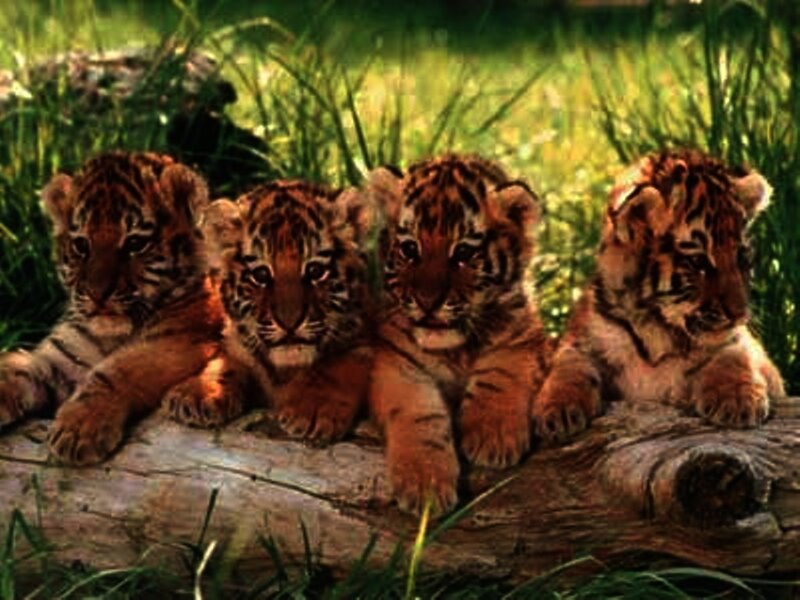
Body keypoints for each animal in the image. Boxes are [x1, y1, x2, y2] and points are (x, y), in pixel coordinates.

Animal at [0, 151, 224, 465]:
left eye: (135, 243)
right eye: (81, 245)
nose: (97, 294)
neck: (111, 335)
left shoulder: (177, 342)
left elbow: (115, 370)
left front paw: (78, 429)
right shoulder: (58, 360)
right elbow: (16, 368)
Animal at [163, 180, 374, 443]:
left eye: (315, 271)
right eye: (261, 274)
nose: (289, 323)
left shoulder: (364, 342)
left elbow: (333, 367)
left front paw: (311, 411)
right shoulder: (237, 345)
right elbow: (224, 363)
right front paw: (195, 394)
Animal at [367, 155, 552, 515]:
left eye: (464, 253)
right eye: (410, 248)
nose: (427, 302)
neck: (454, 349)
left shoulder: (525, 339)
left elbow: (501, 373)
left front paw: (492, 436)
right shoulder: (394, 362)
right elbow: (419, 411)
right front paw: (424, 485)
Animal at [532, 149, 785, 441]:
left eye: (742, 259)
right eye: (698, 262)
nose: (740, 314)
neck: (656, 330)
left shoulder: (737, 344)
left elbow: (735, 356)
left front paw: (737, 401)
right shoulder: (580, 342)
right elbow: (569, 367)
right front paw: (557, 412)